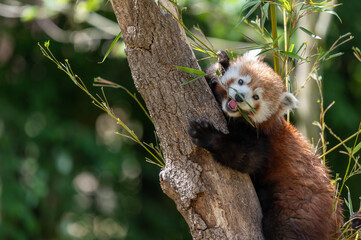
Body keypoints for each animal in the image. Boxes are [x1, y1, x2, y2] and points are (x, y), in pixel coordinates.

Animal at [188, 50, 344, 240]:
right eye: (241, 81)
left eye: (256, 97)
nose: (239, 96)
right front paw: (221, 64)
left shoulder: (263, 139)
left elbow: (248, 158)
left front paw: (207, 136)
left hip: (297, 208)